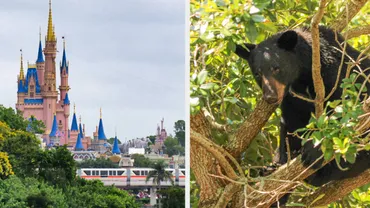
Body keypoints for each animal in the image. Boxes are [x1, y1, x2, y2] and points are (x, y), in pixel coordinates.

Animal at [234, 26, 370, 205]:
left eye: (276, 68)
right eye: (257, 73)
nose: (270, 97)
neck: (302, 76)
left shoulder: (339, 74)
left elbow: (347, 108)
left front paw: (313, 149)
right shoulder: (290, 99)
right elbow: (290, 127)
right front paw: (281, 167)